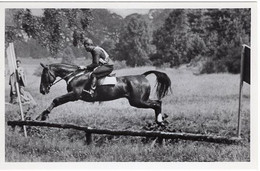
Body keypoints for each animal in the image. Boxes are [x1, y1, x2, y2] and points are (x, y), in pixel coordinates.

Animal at [35, 63, 172, 125]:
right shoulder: (73, 95)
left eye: (43, 75)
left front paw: (43, 116)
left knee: (157, 103)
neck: (75, 75)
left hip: (138, 101)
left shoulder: (74, 95)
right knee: (157, 103)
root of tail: (142, 76)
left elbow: (56, 100)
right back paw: (160, 121)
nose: (42, 90)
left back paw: (160, 120)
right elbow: (56, 100)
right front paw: (41, 115)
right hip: (139, 101)